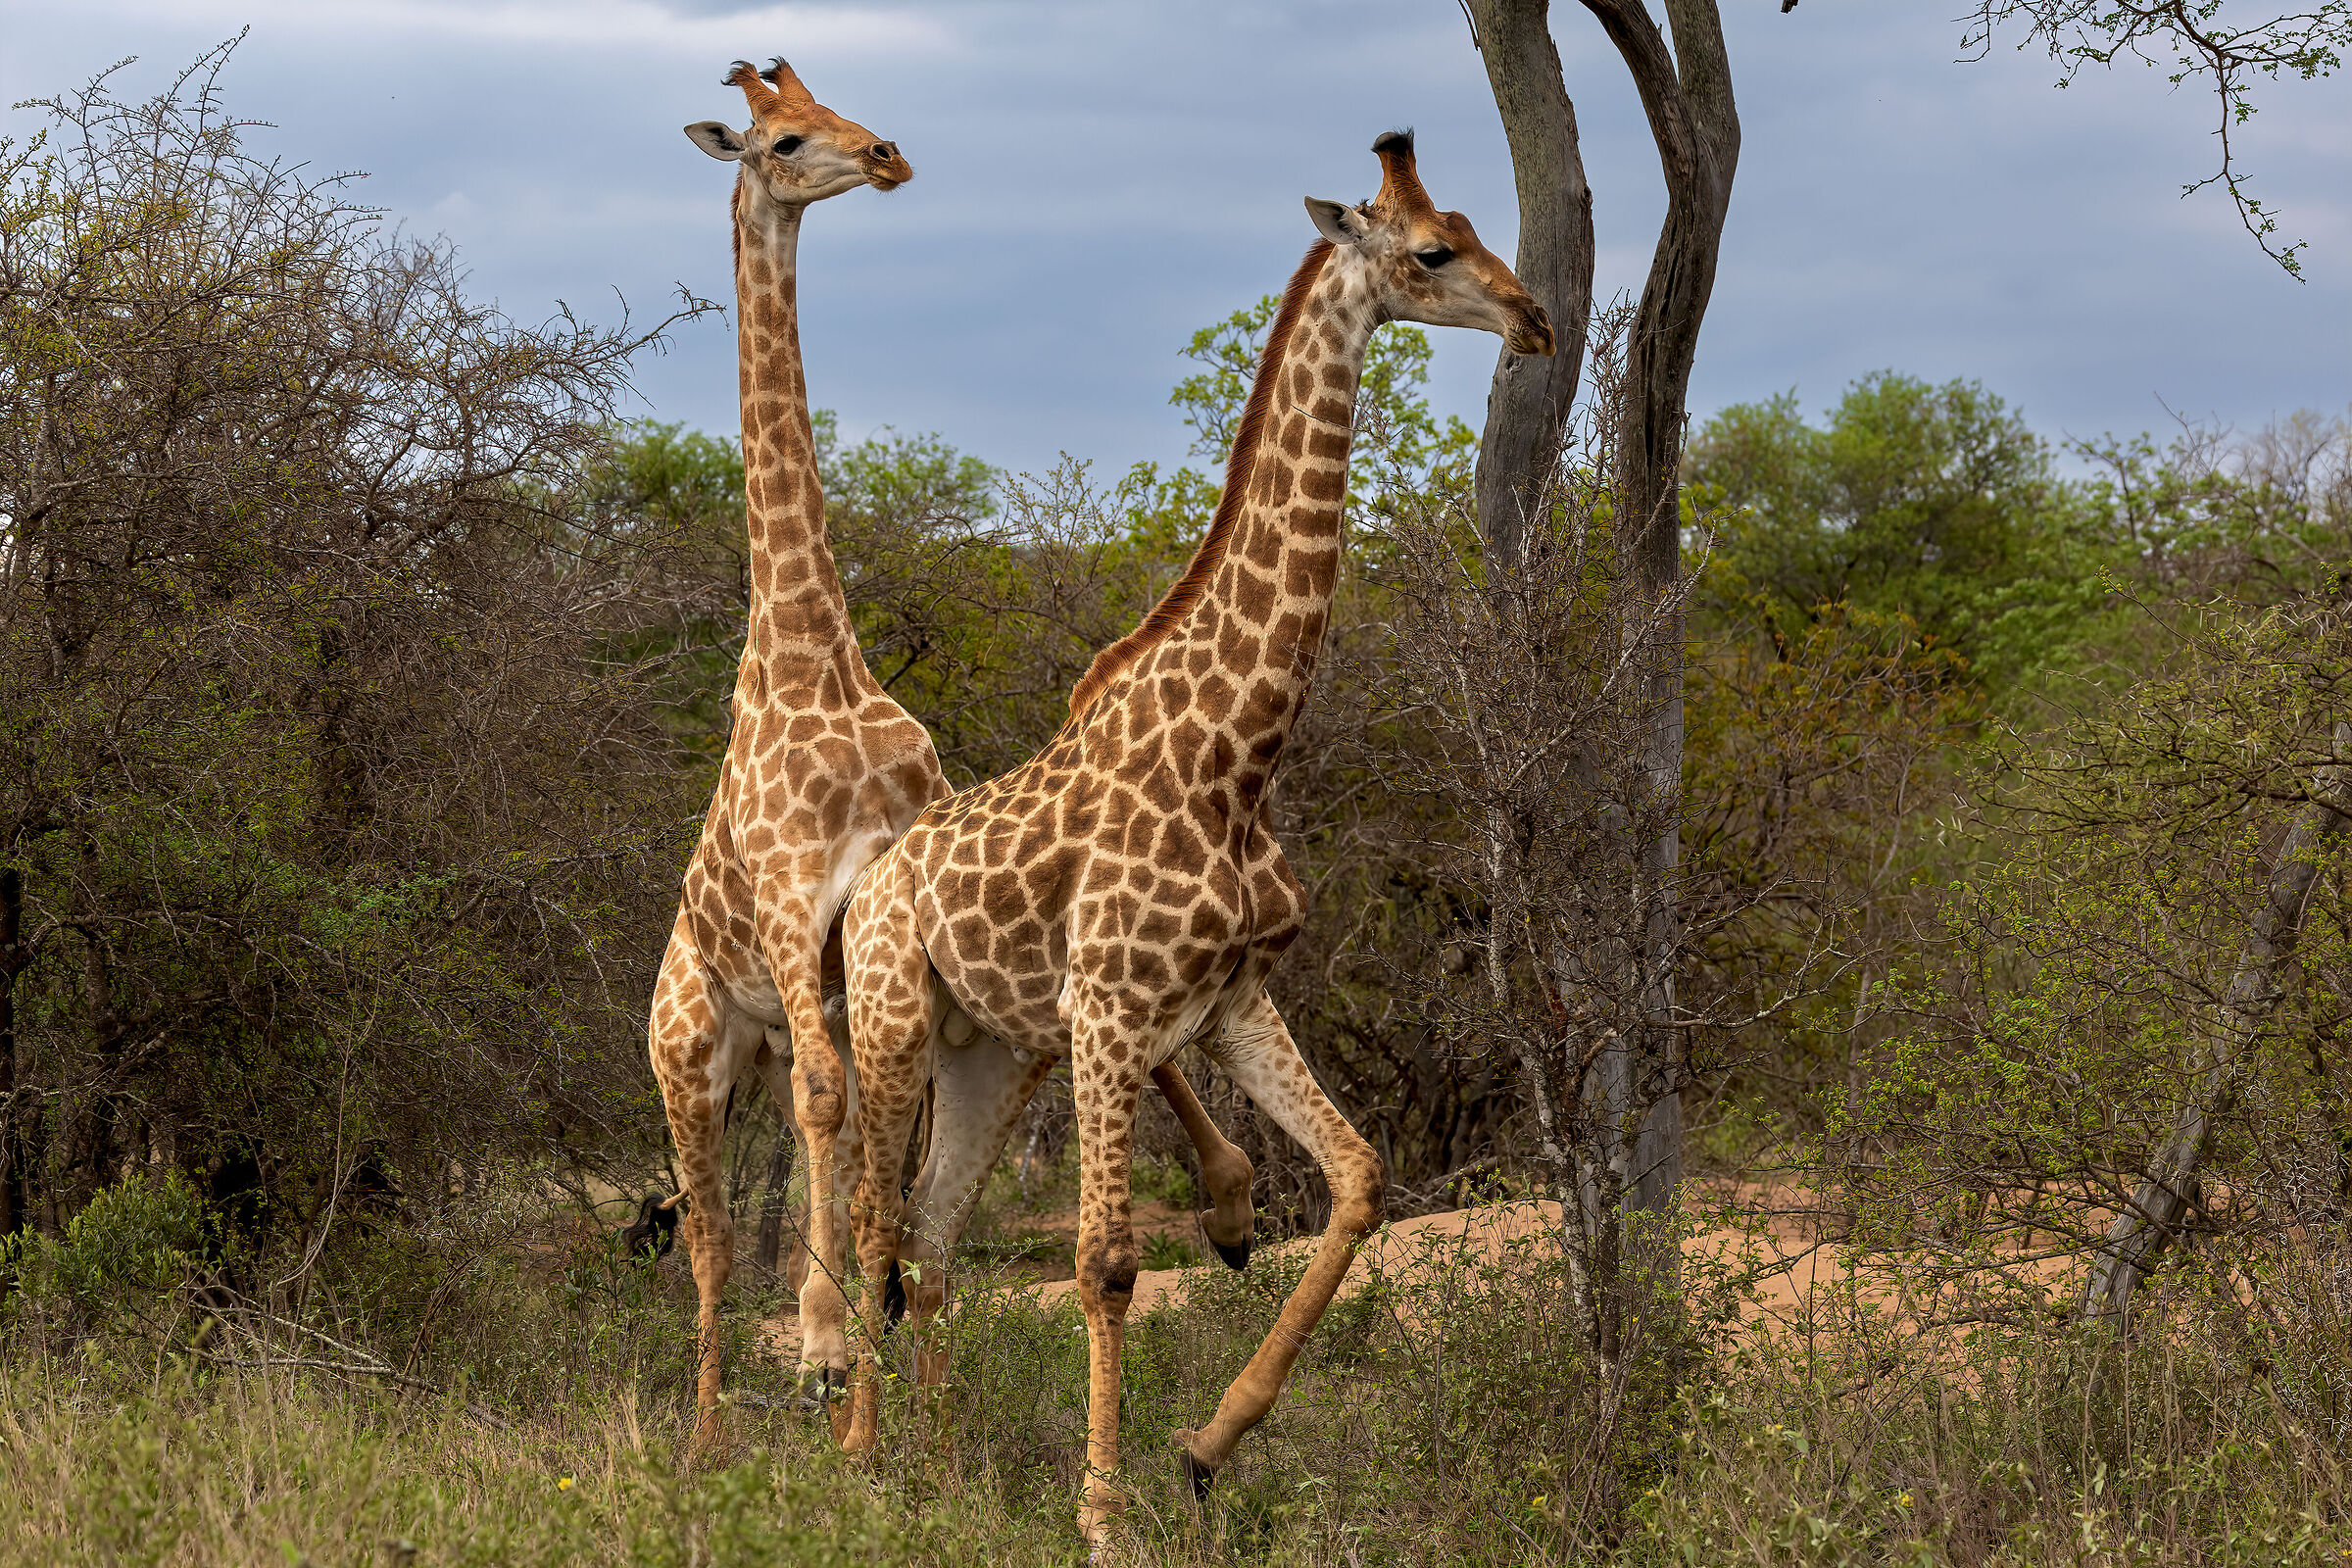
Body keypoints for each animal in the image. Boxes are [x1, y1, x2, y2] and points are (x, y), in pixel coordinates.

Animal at [659, 56, 1259, 1451]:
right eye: (781, 138)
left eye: (828, 103)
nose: (884, 153)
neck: (817, 665)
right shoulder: (798, 913)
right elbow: (840, 1114)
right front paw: (829, 1346)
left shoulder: (915, 891)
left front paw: (1229, 1196)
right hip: (688, 1053)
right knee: (709, 1239)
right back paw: (719, 1428)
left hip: (770, 1035)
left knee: (815, 1145)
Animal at [832, 132, 1553, 1542]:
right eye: (1432, 250)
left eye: (1476, 228)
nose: (1535, 317)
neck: (1236, 756)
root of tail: (871, 889)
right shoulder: (1117, 1009)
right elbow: (1106, 1261)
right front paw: (1105, 1515)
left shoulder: (1231, 1000)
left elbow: (1359, 1176)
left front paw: (1211, 1445)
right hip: (894, 1022)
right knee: (878, 1225)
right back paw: (853, 1463)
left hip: (992, 1054)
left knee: (931, 1242)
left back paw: (934, 1474)